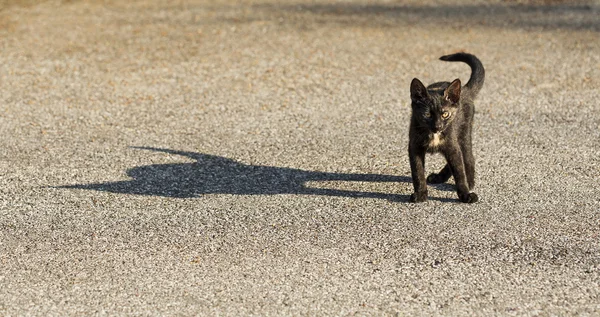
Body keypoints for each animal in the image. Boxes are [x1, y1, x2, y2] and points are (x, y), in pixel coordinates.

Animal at [410, 52, 486, 202]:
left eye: (445, 114)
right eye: (427, 114)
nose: (438, 126)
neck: (433, 134)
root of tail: (465, 89)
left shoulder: (452, 145)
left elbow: (459, 171)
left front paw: (465, 194)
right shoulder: (414, 146)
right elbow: (417, 172)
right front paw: (421, 193)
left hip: (463, 133)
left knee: (468, 157)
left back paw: (469, 182)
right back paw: (439, 177)